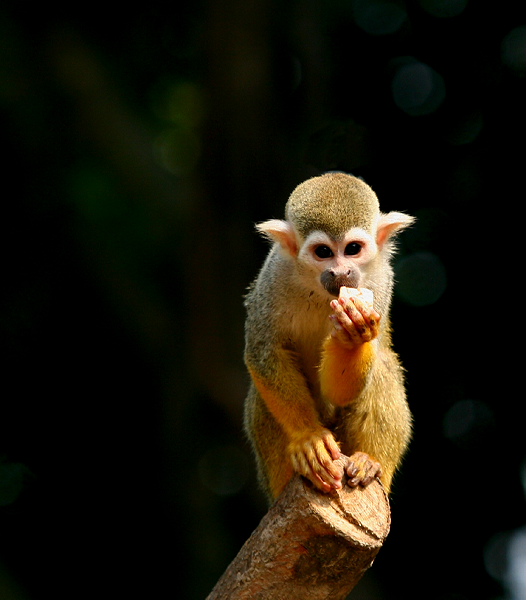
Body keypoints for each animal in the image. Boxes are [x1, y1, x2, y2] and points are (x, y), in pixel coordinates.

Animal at [244, 171, 416, 500]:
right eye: (323, 252)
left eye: (352, 249)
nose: (340, 272)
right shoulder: (274, 273)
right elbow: (264, 351)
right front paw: (309, 437)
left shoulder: (381, 281)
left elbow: (343, 390)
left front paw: (352, 336)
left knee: (382, 365)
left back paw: (371, 463)